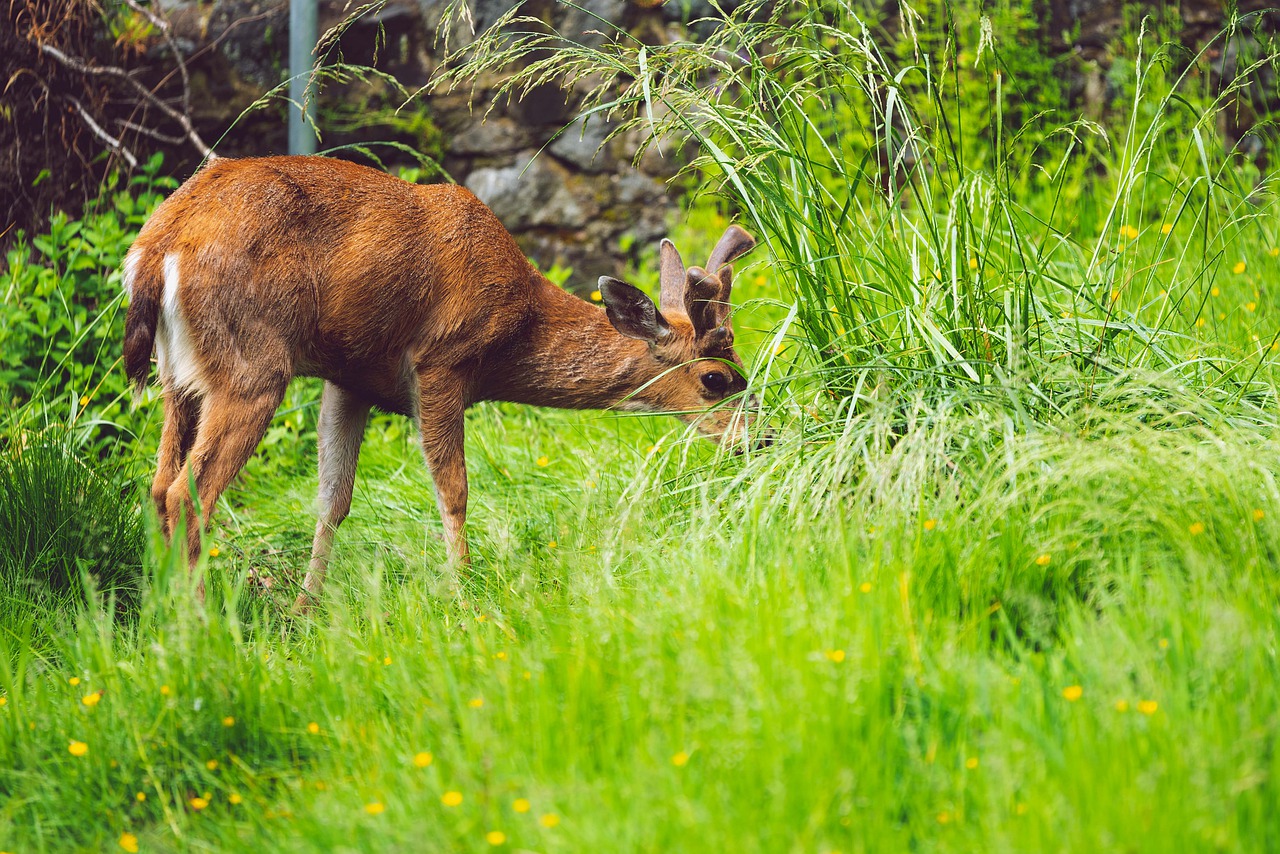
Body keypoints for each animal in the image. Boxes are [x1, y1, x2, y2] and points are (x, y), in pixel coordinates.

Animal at [122, 151, 757, 606]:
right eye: (715, 379)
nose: (759, 439)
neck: (517, 328)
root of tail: (158, 247)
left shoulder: (350, 379)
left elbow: (333, 500)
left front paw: (306, 610)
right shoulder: (441, 361)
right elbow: (454, 491)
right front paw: (463, 592)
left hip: (179, 376)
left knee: (157, 484)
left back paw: (162, 609)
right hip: (252, 365)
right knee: (187, 493)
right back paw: (200, 619)